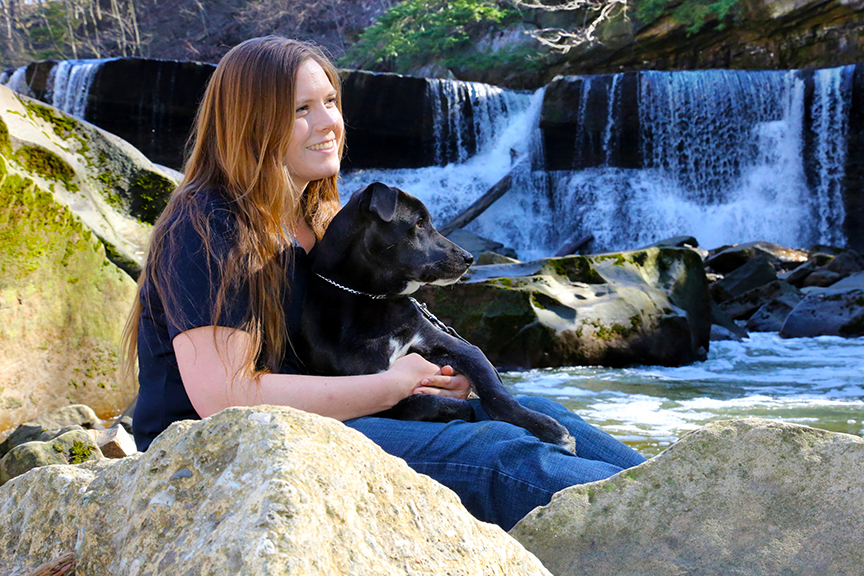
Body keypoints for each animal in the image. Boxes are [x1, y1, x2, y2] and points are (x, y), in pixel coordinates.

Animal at [296, 182, 572, 452]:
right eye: (419, 223)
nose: (469, 258)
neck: (372, 298)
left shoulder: (452, 345)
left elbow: (495, 391)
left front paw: (548, 428)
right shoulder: (362, 384)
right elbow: (417, 402)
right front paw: (460, 408)